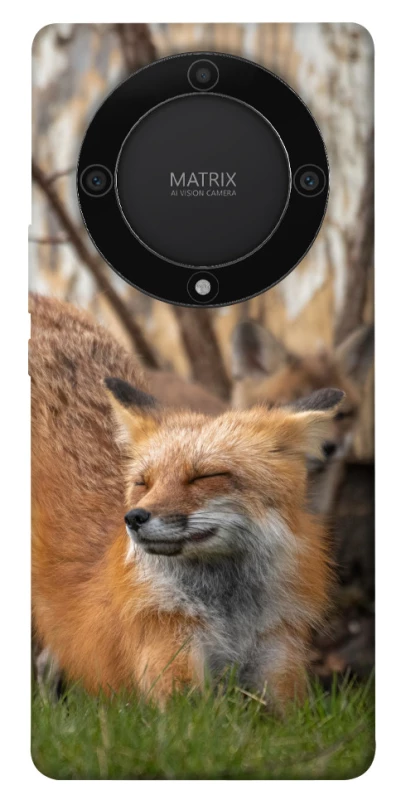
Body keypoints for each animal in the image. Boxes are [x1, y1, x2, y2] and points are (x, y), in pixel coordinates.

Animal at [31, 294, 344, 708]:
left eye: (204, 476)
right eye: (143, 483)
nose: (134, 518)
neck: (229, 617)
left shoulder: (280, 668)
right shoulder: (173, 670)